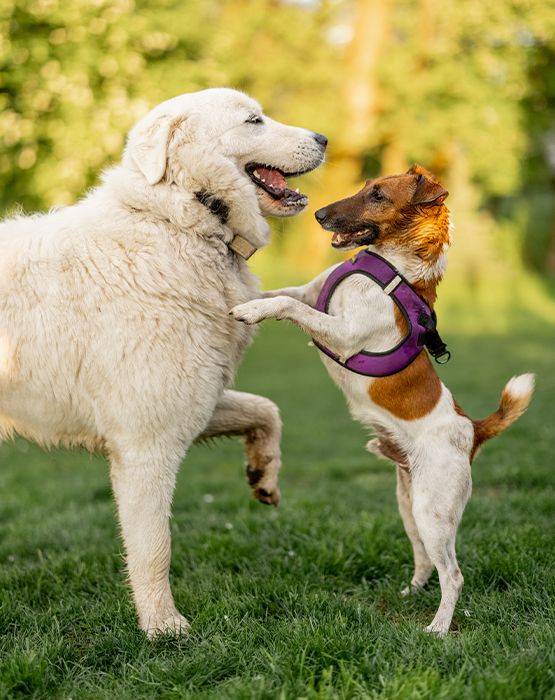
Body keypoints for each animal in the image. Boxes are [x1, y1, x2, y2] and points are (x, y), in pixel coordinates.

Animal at [0, 87, 328, 636]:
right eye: (254, 121)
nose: (324, 138)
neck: (180, 219)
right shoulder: (146, 443)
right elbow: (154, 548)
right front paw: (164, 628)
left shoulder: (190, 403)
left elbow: (266, 410)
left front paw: (263, 476)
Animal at [231, 167, 536, 636]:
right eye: (364, 186)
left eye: (377, 196)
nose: (318, 214)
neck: (392, 266)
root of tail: (473, 430)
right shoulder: (310, 292)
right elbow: (276, 293)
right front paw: (239, 300)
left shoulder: (342, 333)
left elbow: (285, 304)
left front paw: (250, 312)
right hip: (409, 506)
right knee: (426, 561)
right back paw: (411, 592)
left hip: (433, 510)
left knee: (454, 575)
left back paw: (438, 628)